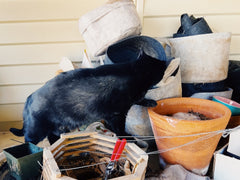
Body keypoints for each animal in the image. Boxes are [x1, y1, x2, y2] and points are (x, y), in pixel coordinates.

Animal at [9, 51, 169, 143]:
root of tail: (29, 98)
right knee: (28, 139)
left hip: (59, 128)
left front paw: (150, 101)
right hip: (37, 131)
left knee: (52, 136)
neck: (132, 71)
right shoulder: (115, 115)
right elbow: (120, 129)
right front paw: (126, 138)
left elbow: (140, 99)